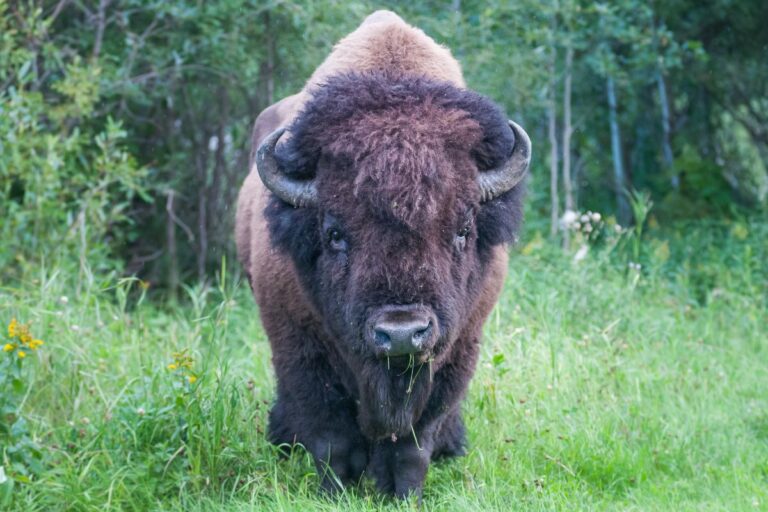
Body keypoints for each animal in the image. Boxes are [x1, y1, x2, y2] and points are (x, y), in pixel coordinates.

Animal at [237, 10, 532, 500]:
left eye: (463, 230)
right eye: (334, 234)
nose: (401, 334)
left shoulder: (457, 351)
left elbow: (414, 443)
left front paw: (404, 494)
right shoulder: (297, 344)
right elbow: (330, 436)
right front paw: (333, 493)